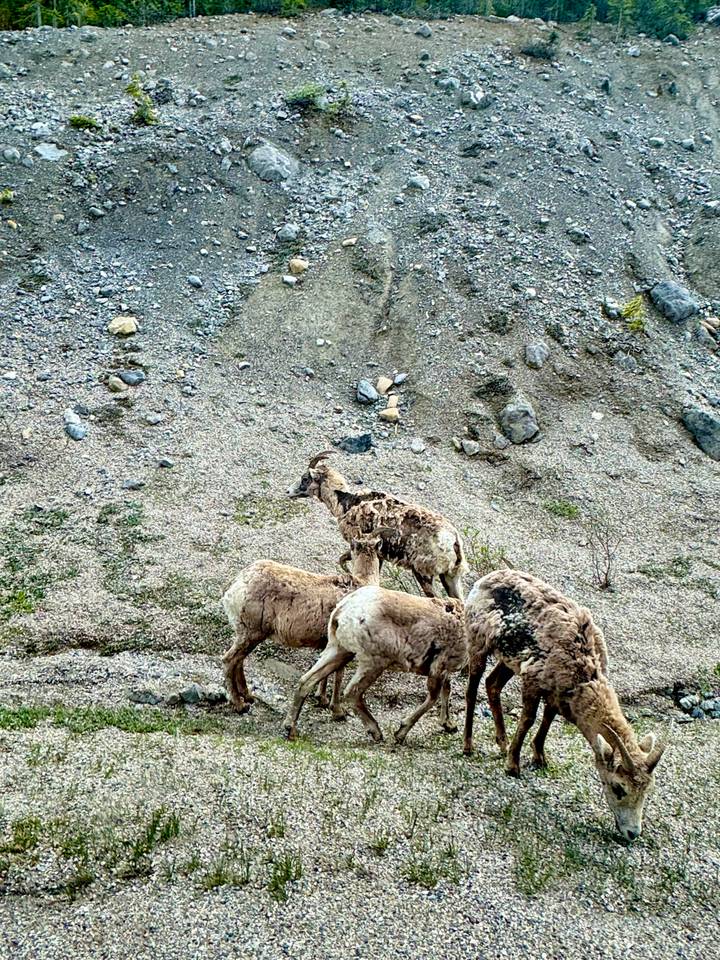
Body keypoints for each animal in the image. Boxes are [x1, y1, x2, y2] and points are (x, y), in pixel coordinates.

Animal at [221, 536, 383, 716]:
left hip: (246, 633)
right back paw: (240, 705)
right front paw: (337, 711)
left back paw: (248, 696)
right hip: (252, 633)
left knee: (238, 661)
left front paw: (322, 699)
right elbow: (338, 675)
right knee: (229, 660)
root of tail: (236, 587)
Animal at [283, 585, 466, 744]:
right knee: (352, 692)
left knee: (307, 680)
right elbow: (434, 698)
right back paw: (376, 732)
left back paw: (290, 729)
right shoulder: (439, 668)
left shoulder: (443, 671)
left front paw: (449, 725)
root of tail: (342, 611)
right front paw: (401, 733)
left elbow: (446, 690)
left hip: (339, 650)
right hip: (374, 662)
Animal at [287, 452, 467, 600]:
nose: (288, 492)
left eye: (305, 478)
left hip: (423, 574)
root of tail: (454, 541)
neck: (346, 502)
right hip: (450, 577)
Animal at [463, 569, 665, 841]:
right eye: (618, 787)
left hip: (507, 661)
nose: (632, 833)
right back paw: (468, 746)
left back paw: (502, 743)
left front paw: (539, 758)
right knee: (472, 689)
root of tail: (484, 580)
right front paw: (513, 766)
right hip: (478, 643)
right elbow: (528, 719)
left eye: (647, 791)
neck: (585, 671)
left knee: (492, 685)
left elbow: (548, 718)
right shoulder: (533, 681)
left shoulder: (556, 693)